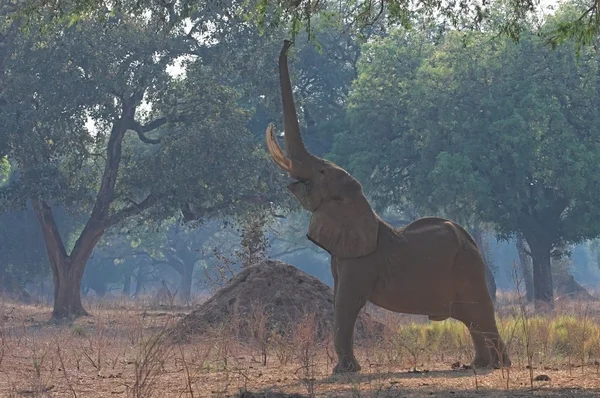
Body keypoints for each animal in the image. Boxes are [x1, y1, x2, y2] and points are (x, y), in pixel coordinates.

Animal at [268, 40, 510, 374]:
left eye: (321, 172)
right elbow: (340, 299)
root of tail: (470, 240)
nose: (288, 41)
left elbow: (346, 303)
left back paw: (499, 365)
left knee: (480, 314)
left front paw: (345, 371)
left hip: (469, 269)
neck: (362, 206)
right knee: (472, 319)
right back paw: (478, 365)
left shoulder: (360, 263)